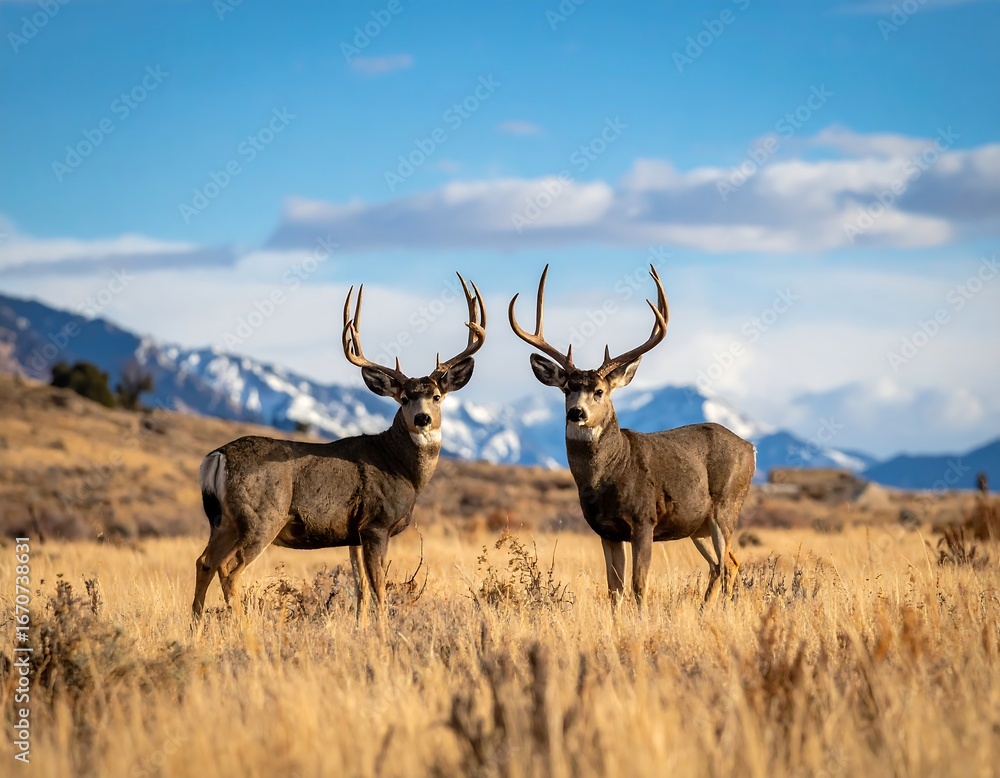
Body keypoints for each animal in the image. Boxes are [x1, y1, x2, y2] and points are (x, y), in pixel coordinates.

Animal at [192, 274, 486, 621]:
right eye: (403, 398)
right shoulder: (376, 524)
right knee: (229, 568)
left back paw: (196, 627)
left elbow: (360, 589)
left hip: (223, 521)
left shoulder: (353, 534)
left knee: (204, 562)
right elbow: (379, 588)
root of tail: (217, 457)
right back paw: (243, 628)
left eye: (437, 396)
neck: (400, 467)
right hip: (262, 516)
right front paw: (383, 630)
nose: (423, 418)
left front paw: (361, 628)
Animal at [508, 265, 755, 609]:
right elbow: (615, 589)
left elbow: (639, 585)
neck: (611, 473)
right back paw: (707, 609)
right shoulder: (607, 531)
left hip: (726, 506)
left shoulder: (643, 520)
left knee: (725, 564)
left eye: (600, 391)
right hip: (699, 526)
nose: (577, 413)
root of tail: (751, 447)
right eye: (567, 389)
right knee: (727, 563)